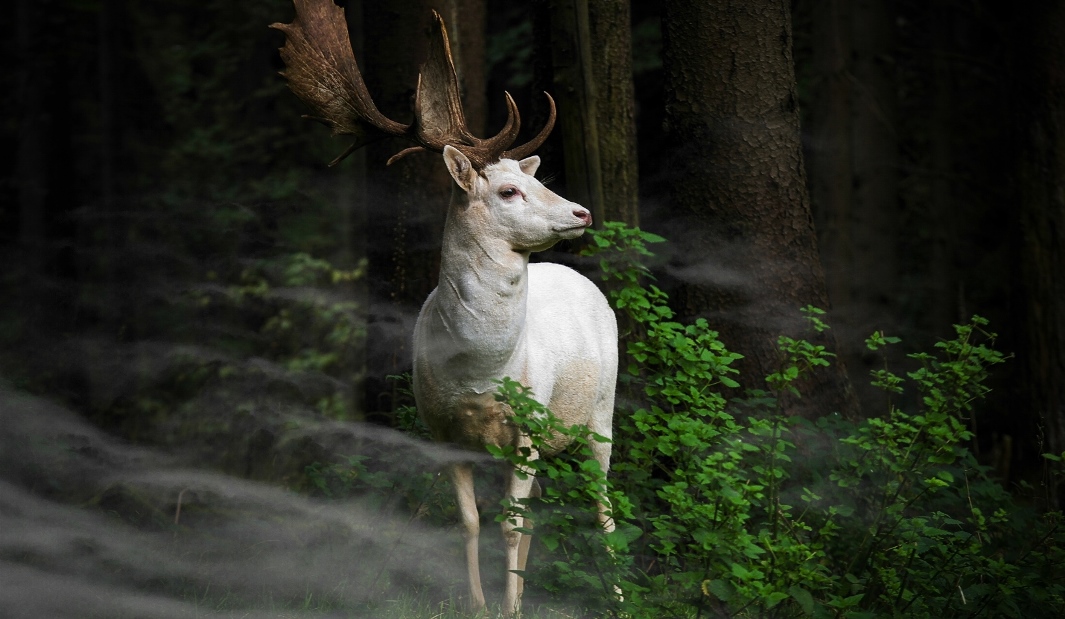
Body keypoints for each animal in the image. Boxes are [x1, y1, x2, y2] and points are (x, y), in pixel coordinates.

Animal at [271, 1, 618, 615]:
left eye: (531, 180)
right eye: (508, 191)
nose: (581, 212)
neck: (480, 371)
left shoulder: (527, 428)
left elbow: (510, 524)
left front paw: (510, 608)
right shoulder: (441, 431)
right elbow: (471, 521)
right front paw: (480, 604)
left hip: (601, 415)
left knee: (604, 510)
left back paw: (620, 596)